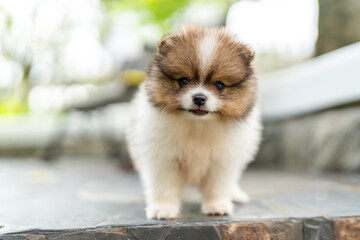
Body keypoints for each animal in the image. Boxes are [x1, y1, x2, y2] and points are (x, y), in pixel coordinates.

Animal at [126, 25, 262, 219]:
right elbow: (164, 186)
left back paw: (236, 195)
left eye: (219, 85)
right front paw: (163, 208)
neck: (197, 125)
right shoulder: (163, 158)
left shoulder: (222, 160)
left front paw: (217, 205)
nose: (199, 98)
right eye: (183, 80)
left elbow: (217, 186)